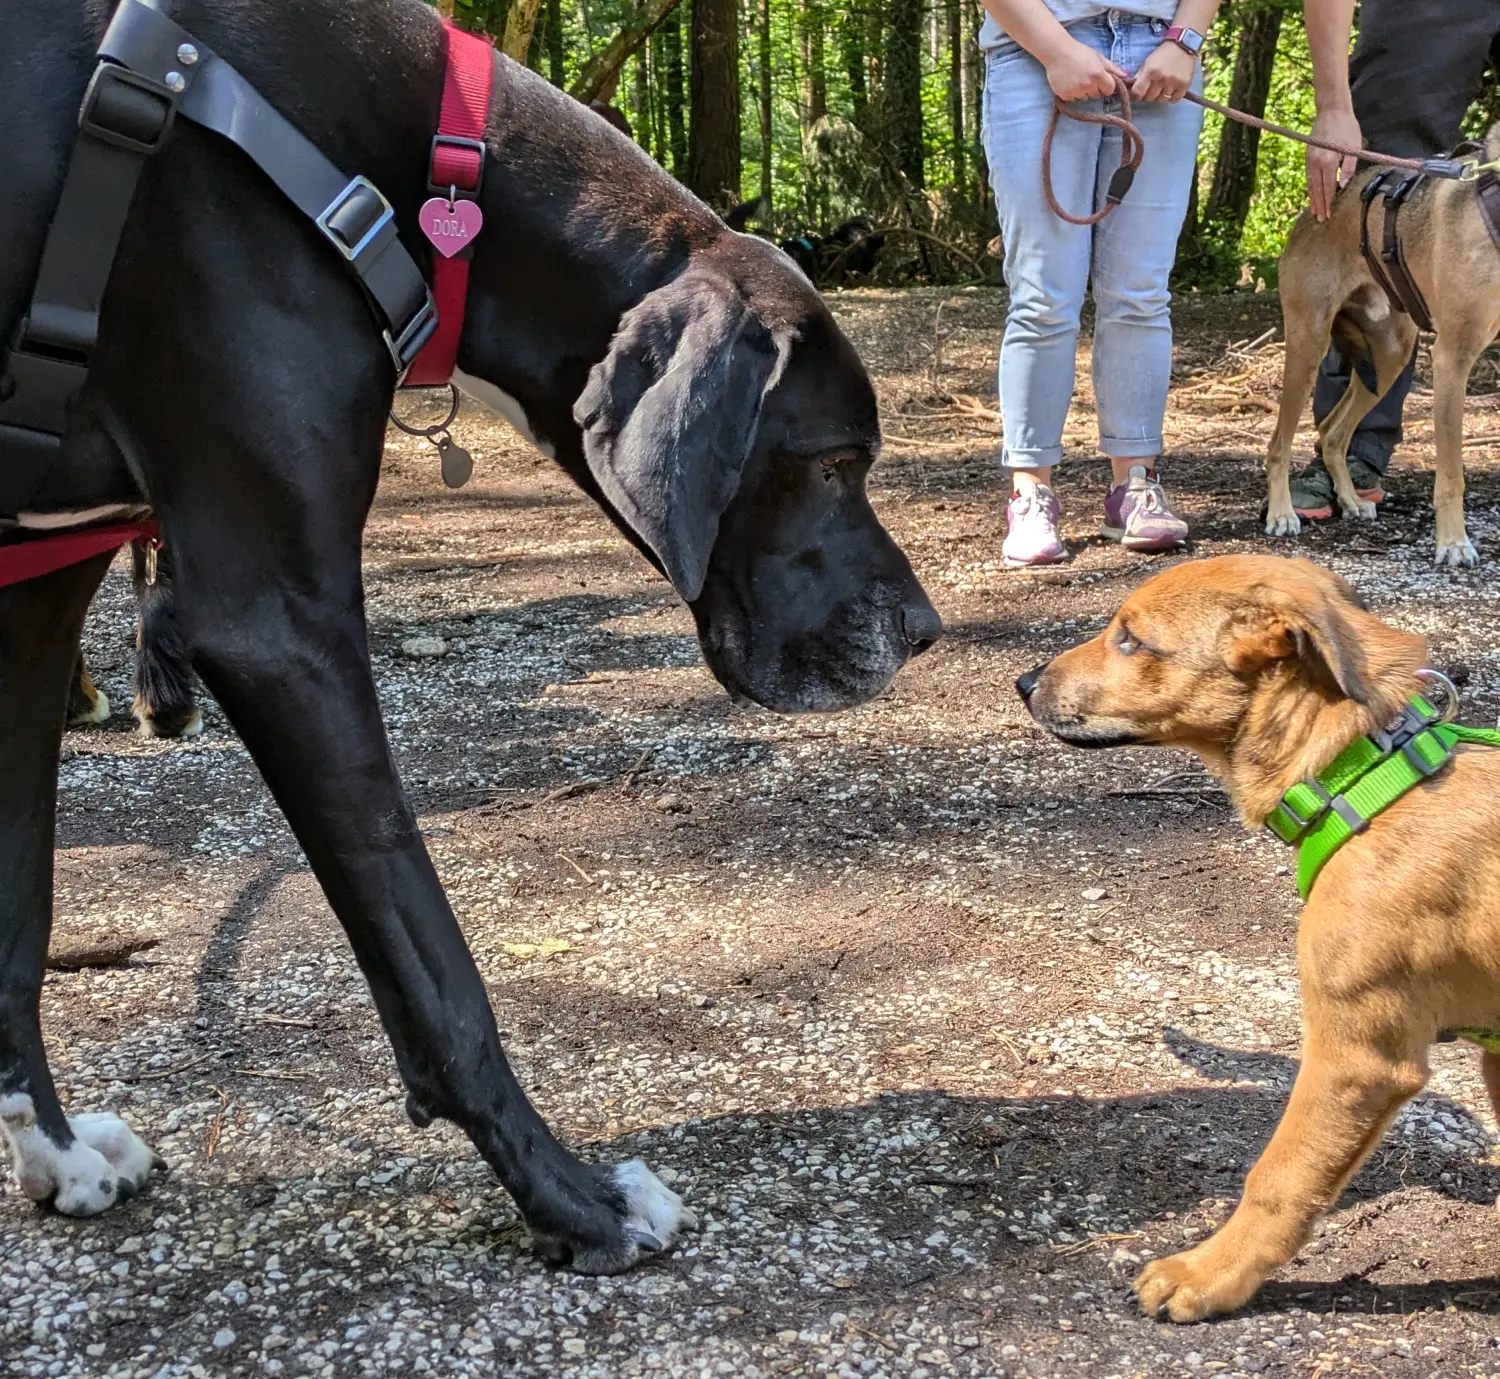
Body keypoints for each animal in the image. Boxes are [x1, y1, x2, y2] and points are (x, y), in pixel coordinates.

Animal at [1014, 552, 1500, 1326]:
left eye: (1132, 639)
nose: (1025, 682)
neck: (1361, 776)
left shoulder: (1357, 1056)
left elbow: (1279, 1175)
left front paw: (1208, 1273)